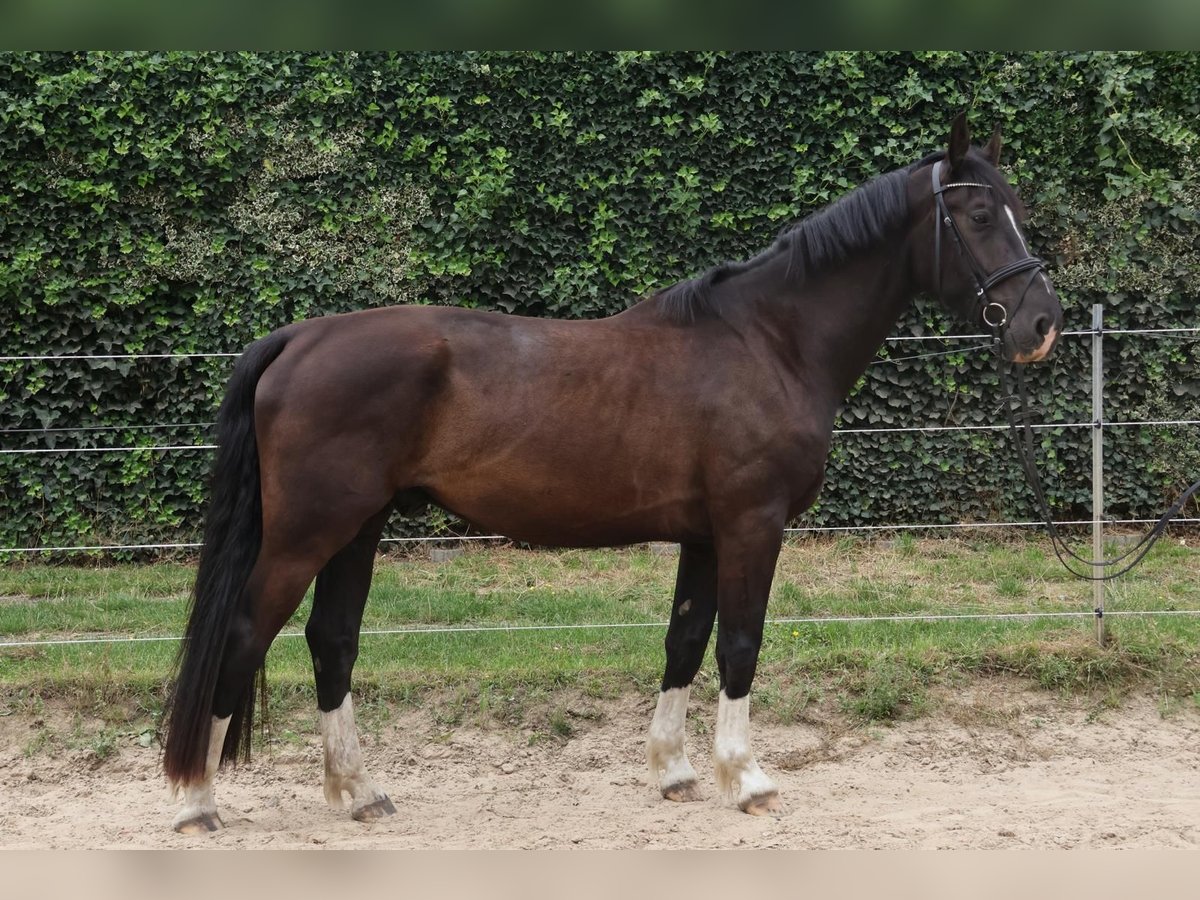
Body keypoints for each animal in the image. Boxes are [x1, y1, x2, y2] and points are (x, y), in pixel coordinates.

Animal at [159, 116, 1060, 835]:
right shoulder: (751, 523)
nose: (1041, 323)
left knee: (331, 642)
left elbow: (686, 640)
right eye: (981, 215)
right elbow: (740, 643)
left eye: (1017, 207)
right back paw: (197, 800)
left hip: (359, 527)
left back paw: (358, 792)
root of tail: (299, 337)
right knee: (245, 633)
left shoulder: (705, 534)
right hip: (309, 533)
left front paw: (676, 772)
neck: (770, 341)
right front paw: (748, 780)